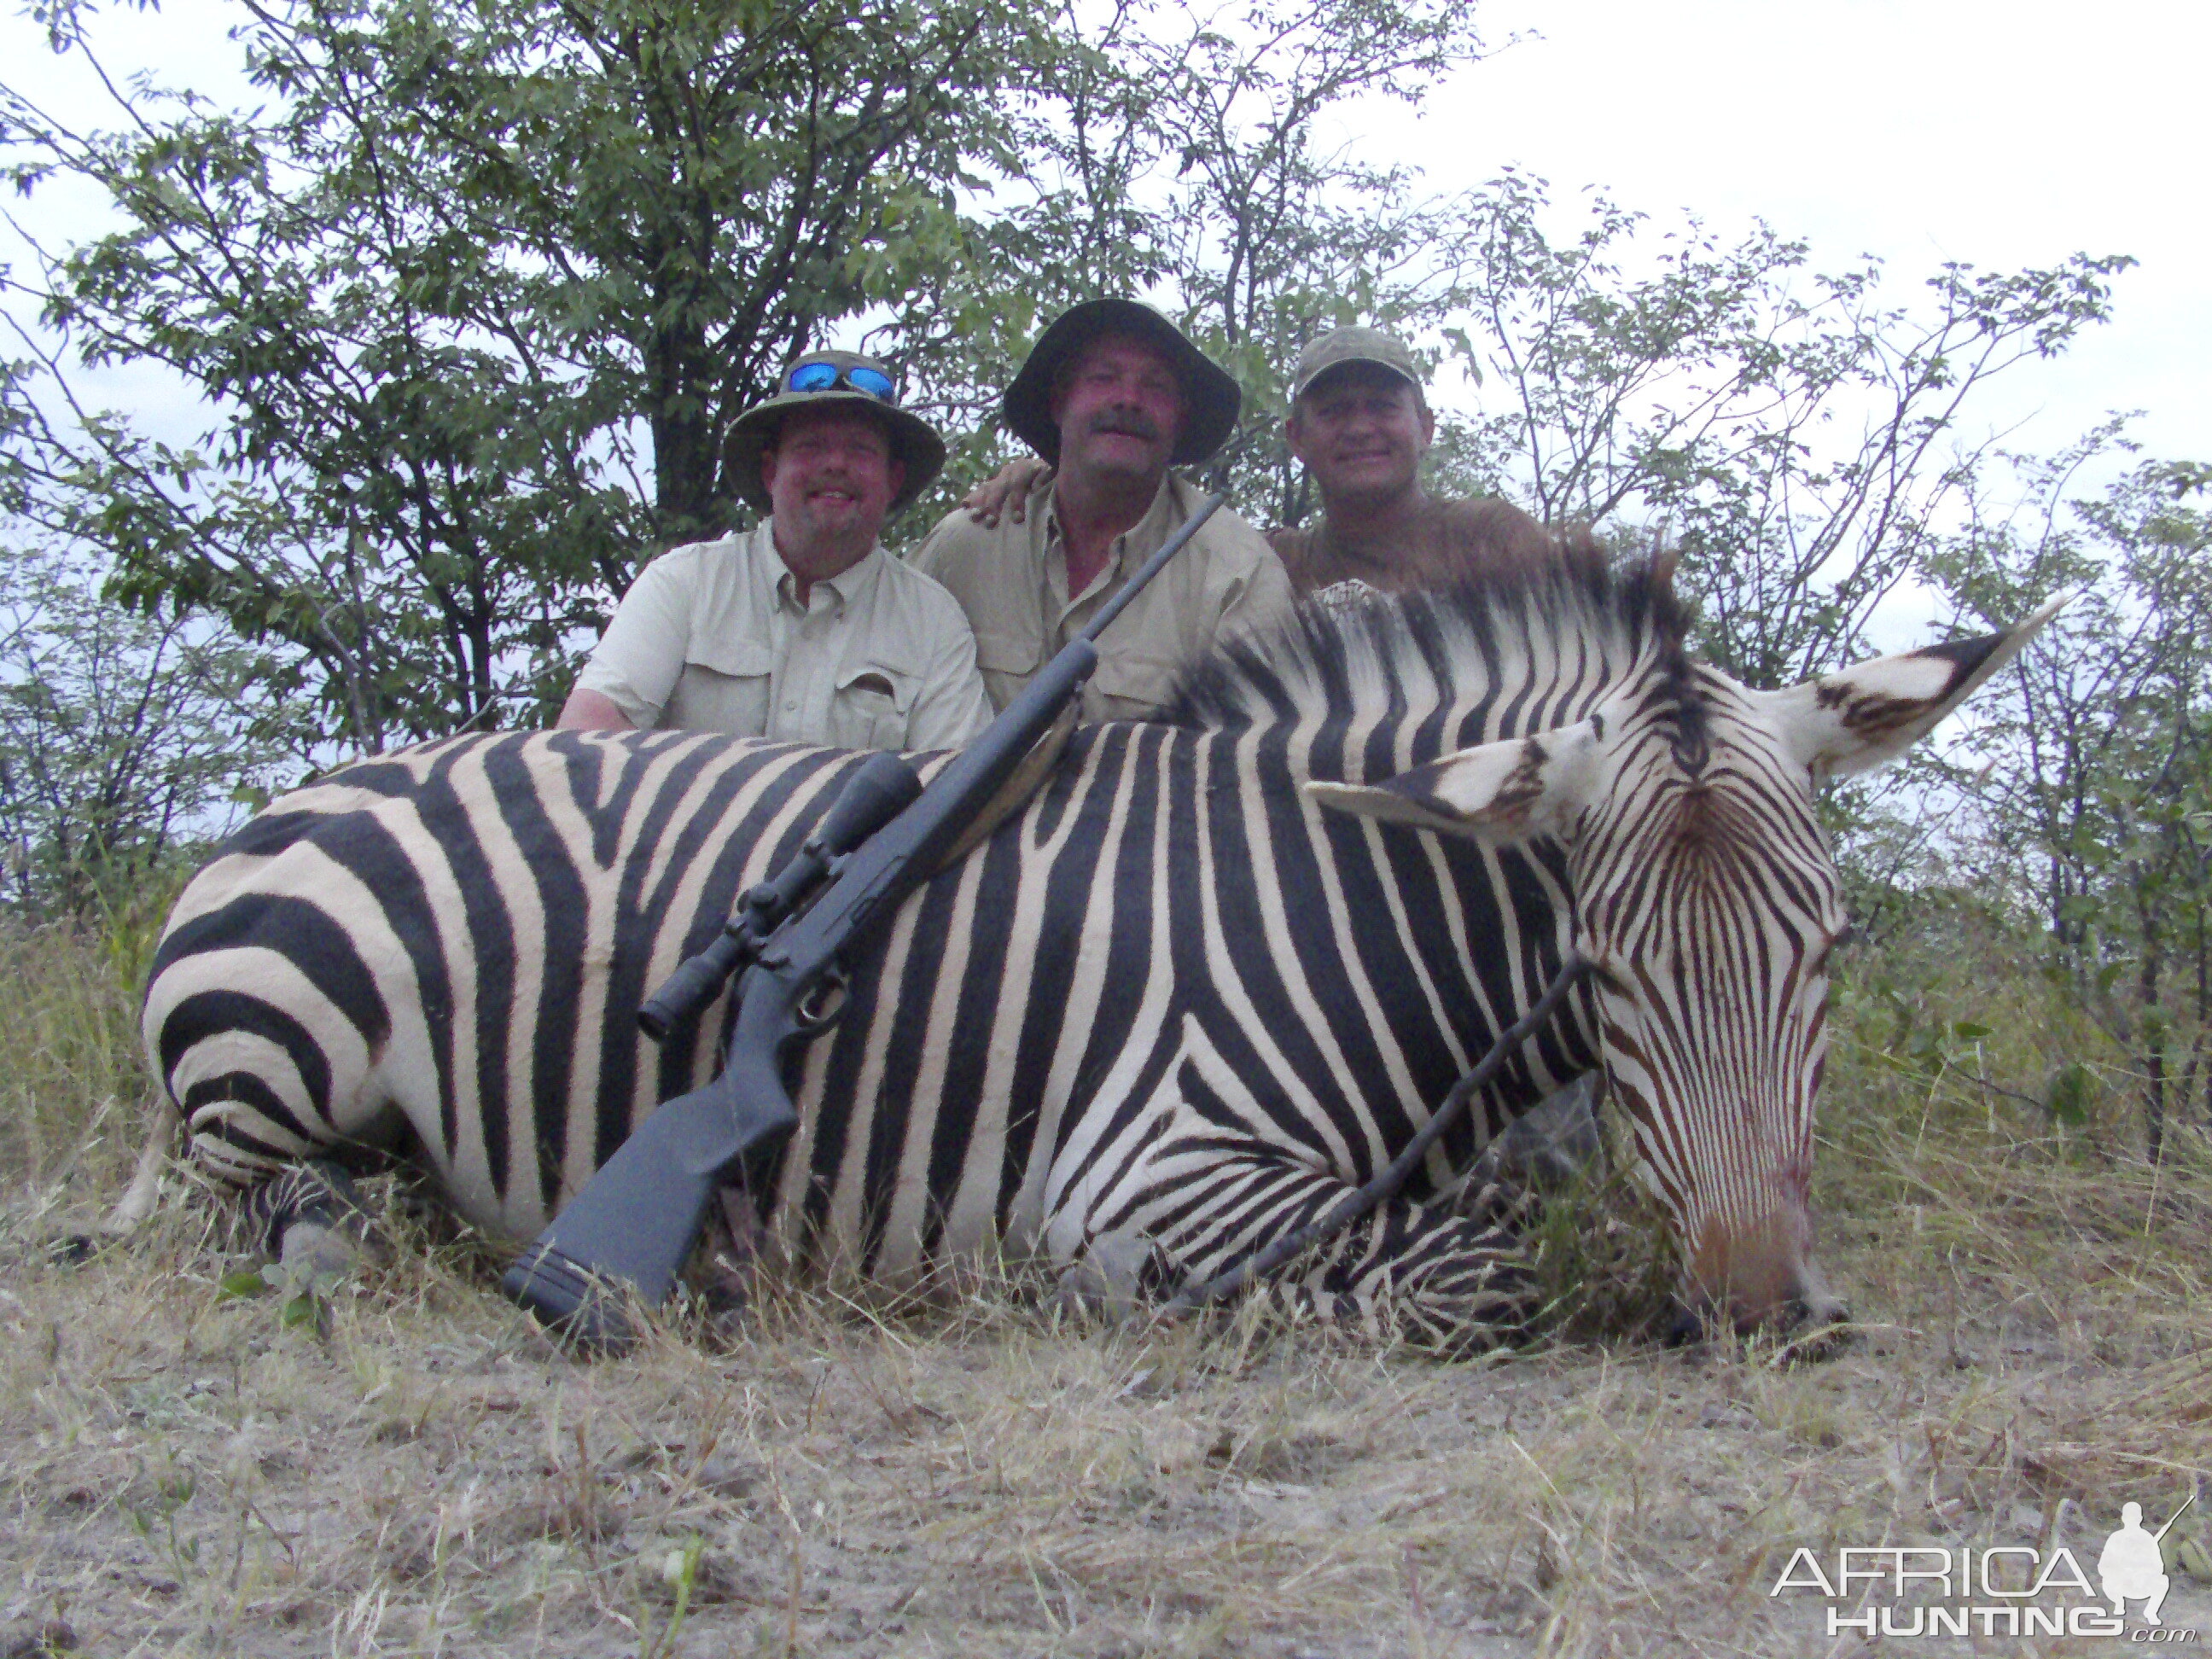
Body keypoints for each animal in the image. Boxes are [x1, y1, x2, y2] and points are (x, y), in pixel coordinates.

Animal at [147, 553, 2061, 1344]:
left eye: (1834, 946)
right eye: (1597, 968)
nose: (1756, 1309)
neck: (1339, 900)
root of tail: (290, 792)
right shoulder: (1140, 1178)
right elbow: (1478, 1268)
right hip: (273, 1051)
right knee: (239, 1201)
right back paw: (348, 1249)